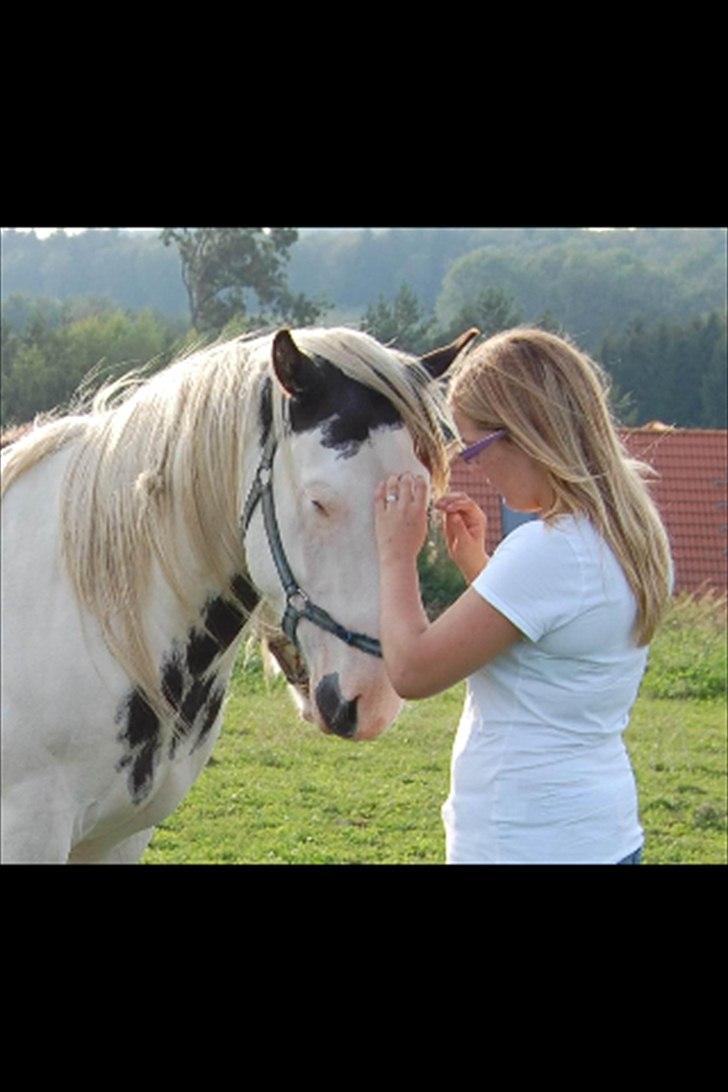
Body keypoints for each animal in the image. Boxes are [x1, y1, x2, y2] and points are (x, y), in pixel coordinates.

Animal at [1, 323, 478, 860]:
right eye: (319, 501)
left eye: (423, 499)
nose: (371, 696)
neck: (81, 616)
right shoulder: (29, 832)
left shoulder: (118, 839)